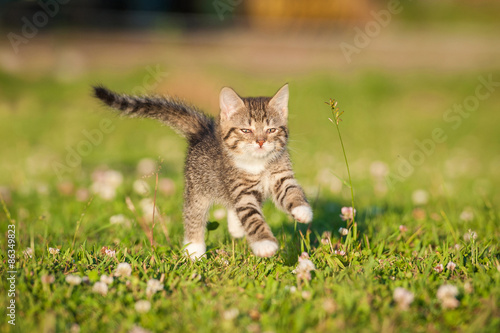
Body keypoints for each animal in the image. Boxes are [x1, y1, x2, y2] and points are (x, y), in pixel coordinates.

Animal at [93, 83, 312, 260]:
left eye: (271, 130)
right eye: (246, 130)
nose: (260, 142)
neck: (259, 164)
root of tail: (203, 131)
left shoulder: (281, 176)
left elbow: (291, 191)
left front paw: (302, 209)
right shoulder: (240, 189)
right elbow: (251, 216)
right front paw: (264, 243)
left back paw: (235, 228)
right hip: (196, 188)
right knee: (194, 215)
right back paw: (194, 250)